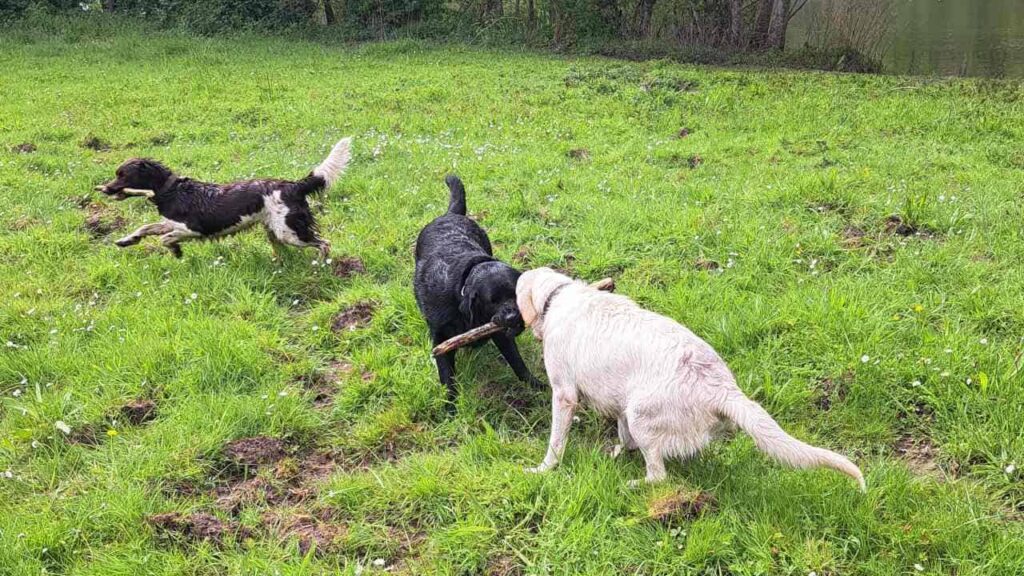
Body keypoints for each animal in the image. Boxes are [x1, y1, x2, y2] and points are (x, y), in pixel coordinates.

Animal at [96, 137, 352, 258]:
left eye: (122, 175)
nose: (105, 189)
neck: (171, 190)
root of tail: (293, 185)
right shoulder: (170, 222)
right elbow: (146, 227)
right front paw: (126, 240)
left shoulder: (193, 229)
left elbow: (165, 239)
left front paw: (176, 251)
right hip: (276, 230)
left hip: (289, 231)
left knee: (324, 244)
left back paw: (321, 266)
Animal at [413, 172, 544, 401]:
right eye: (492, 300)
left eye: (515, 294)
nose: (513, 316)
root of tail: (449, 214)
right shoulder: (440, 337)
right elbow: (447, 377)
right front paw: (450, 405)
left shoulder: (500, 333)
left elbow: (517, 363)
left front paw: (536, 385)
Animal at [520, 266, 864, 487]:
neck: (558, 296)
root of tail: (722, 387)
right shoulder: (618, 402)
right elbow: (622, 434)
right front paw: (619, 449)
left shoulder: (564, 395)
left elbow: (555, 442)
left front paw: (544, 469)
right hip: (638, 409)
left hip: (642, 414)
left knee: (658, 476)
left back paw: (635, 484)